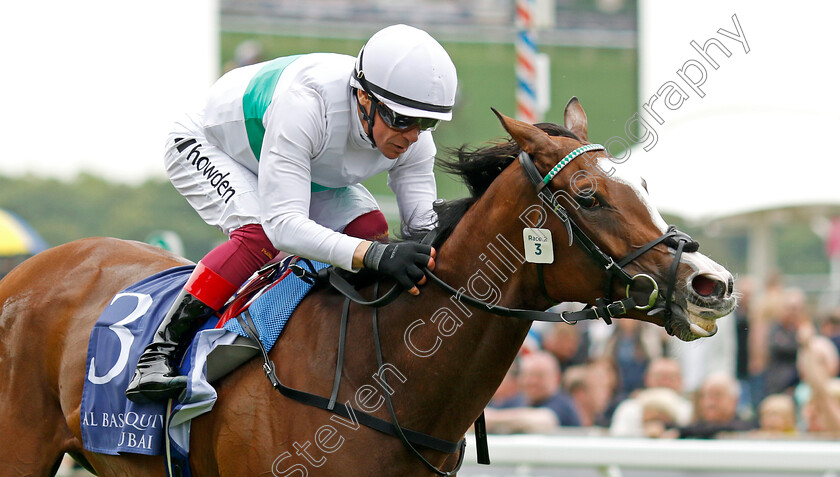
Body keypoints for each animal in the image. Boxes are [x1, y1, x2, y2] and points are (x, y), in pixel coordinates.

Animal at [0, 98, 736, 474]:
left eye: (643, 186)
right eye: (588, 197)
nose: (713, 285)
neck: (377, 374)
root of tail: (25, 272)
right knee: (255, 230)